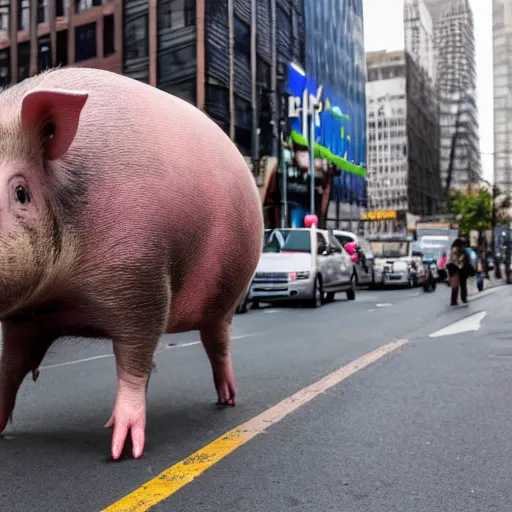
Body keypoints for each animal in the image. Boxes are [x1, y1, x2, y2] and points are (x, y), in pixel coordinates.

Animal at [0, 68, 264, 460]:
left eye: (20, 193)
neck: (61, 296)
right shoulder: (25, 317)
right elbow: (11, 366)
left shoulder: (141, 274)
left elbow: (133, 359)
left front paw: (122, 449)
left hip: (228, 295)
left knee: (217, 343)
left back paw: (227, 400)